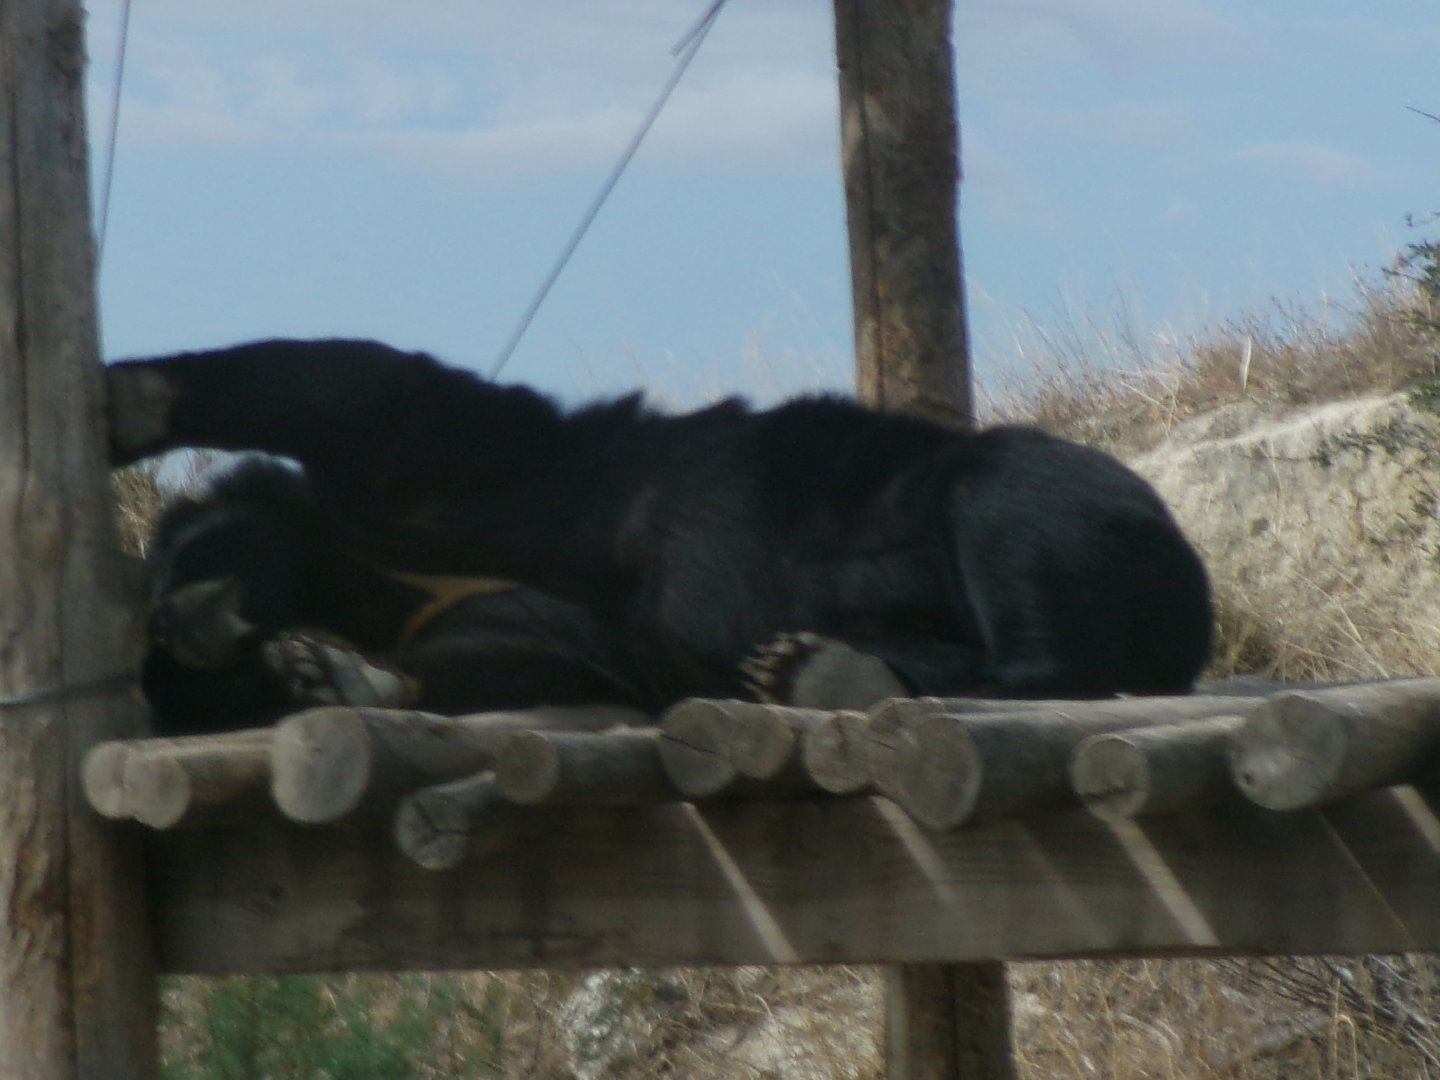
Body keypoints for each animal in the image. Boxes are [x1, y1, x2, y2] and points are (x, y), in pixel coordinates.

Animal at [109, 338, 1214, 734]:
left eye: (187, 554)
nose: (163, 616)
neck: (379, 579)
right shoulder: (513, 624)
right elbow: (495, 663)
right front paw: (327, 673)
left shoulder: (460, 478)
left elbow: (366, 389)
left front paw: (134, 397)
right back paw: (829, 670)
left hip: (1078, 508)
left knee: (1004, 502)